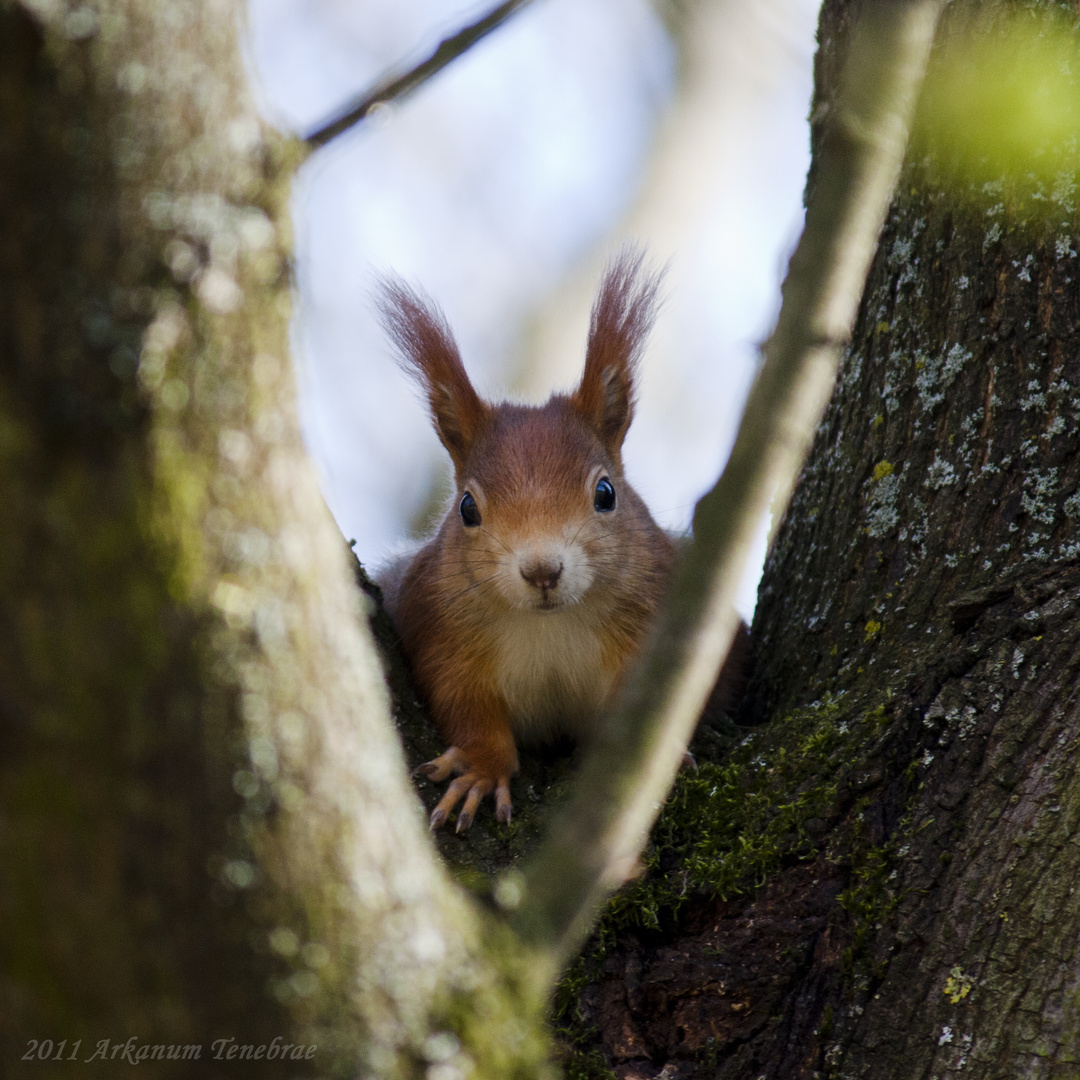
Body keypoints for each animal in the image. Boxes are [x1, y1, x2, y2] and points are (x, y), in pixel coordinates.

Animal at [378, 248, 743, 829]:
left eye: (606, 493)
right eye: (467, 508)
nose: (542, 571)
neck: (550, 625)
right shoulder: (439, 629)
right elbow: (465, 705)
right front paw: (482, 769)